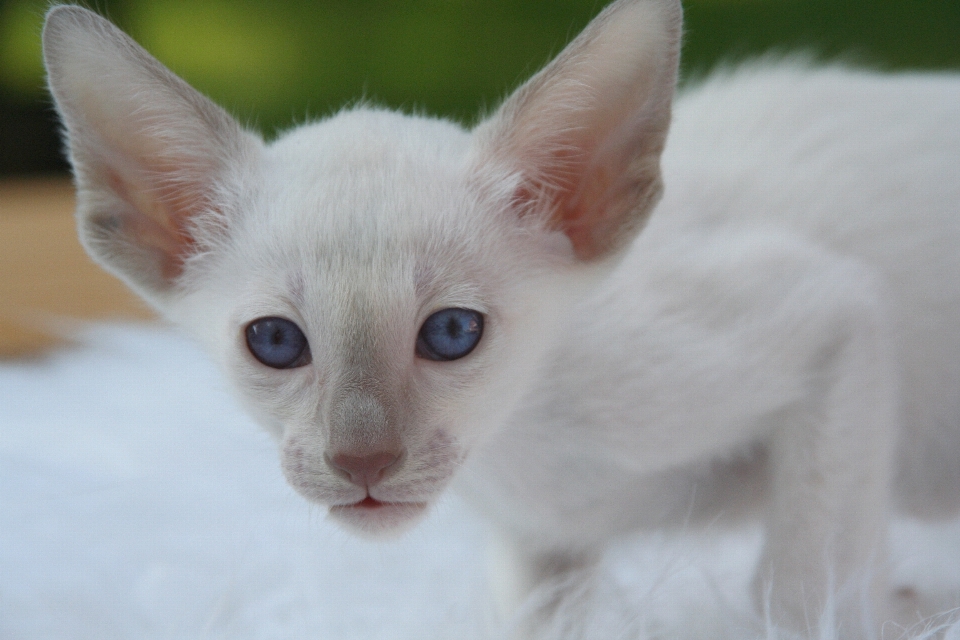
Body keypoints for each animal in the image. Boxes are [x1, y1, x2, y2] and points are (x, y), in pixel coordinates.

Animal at [43, 2, 960, 636]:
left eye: (452, 334)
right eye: (276, 342)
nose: (362, 460)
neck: (520, 447)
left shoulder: (835, 315)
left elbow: (801, 591)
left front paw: (880, 613)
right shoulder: (538, 549)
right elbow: (539, 617)